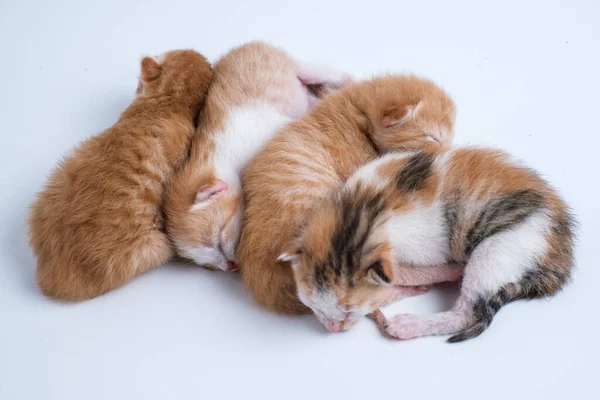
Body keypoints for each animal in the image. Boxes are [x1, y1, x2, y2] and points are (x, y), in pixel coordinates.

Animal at [282, 147, 576, 340]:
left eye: (349, 310)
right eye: (311, 304)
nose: (332, 328)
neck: (361, 211)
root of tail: (563, 253)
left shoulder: (424, 245)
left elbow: (409, 271)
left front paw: (447, 271)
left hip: (502, 247)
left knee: (468, 312)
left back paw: (408, 325)